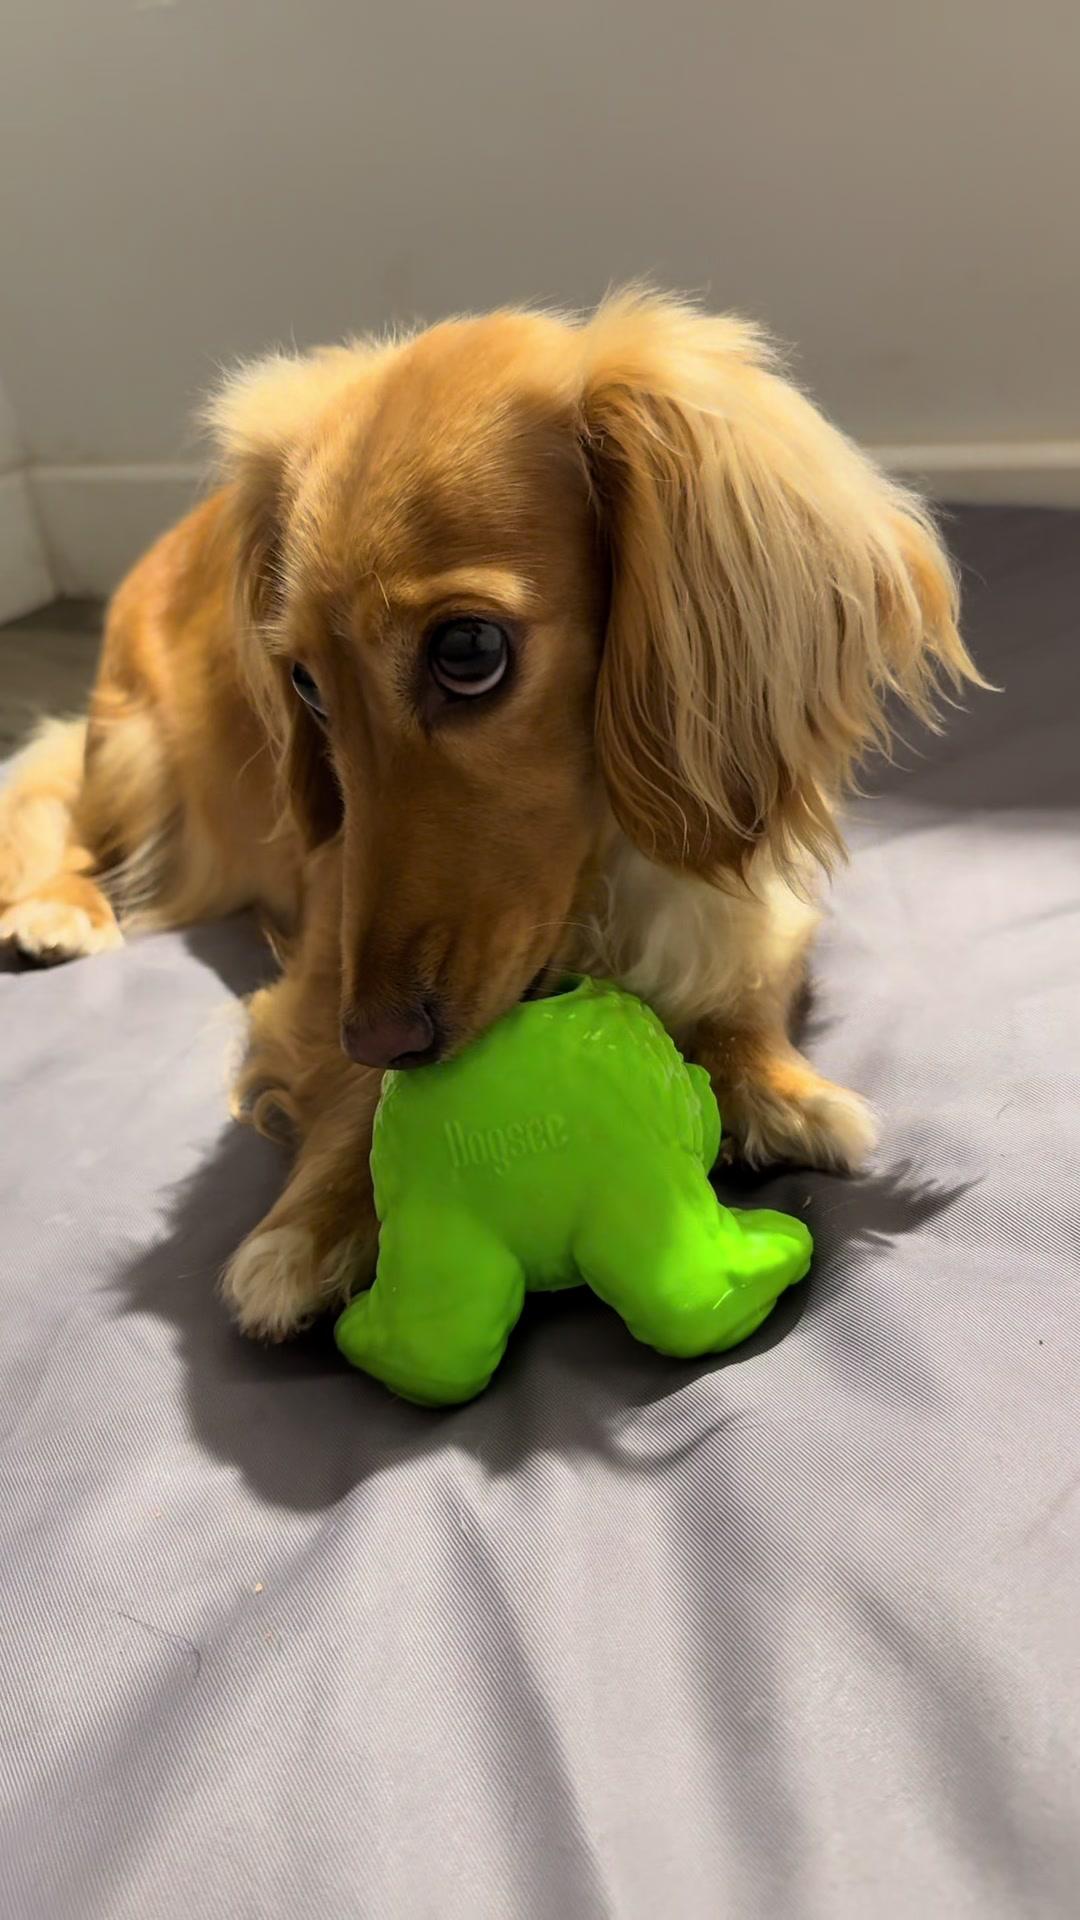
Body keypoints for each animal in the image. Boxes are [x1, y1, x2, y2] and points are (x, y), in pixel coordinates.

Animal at [0, 290, 980, 1340]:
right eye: (304, 684)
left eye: (468, 649)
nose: (377, 1033)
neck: (597, 880)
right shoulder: (316, 968)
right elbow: (352, 1094)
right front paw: (313, 1221)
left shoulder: (753, 901)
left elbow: (741, 989)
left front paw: (781, 1088)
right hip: (136, 755)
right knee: (72, 821)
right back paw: (59, 909)